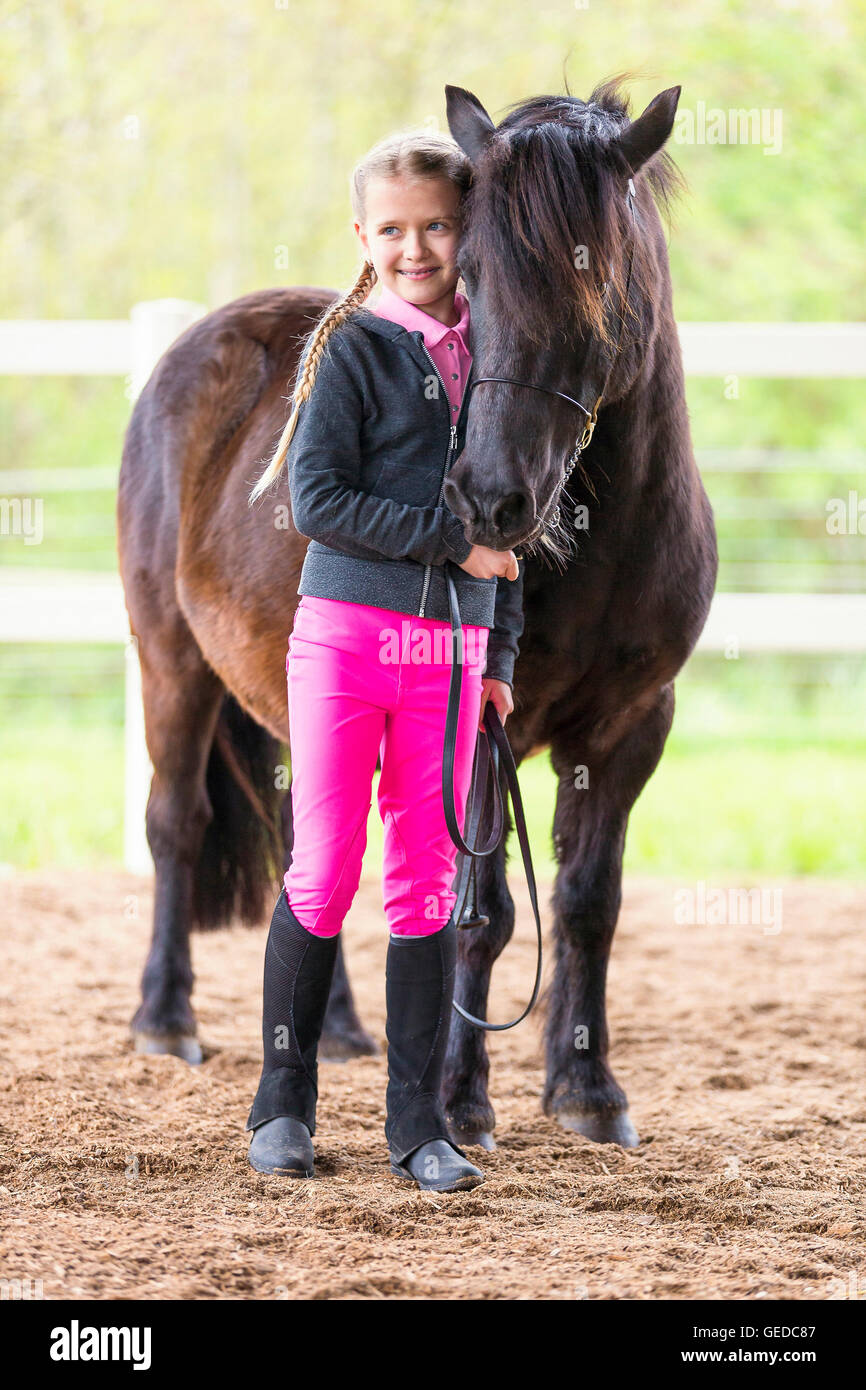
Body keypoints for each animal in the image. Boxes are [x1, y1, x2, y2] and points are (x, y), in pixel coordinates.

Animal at [118, 76, 722, 1145]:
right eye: (470, 275)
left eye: (597, 276)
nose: (488, 501)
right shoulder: (477, 725)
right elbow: (482, 912)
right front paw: (461, 1101)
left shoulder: (632, 726)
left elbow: (587, 902)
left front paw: (588, 1090)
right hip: (170, 662)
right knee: (174, 822)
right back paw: (166, 1020)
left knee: (311, 849)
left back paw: (340, 1033)